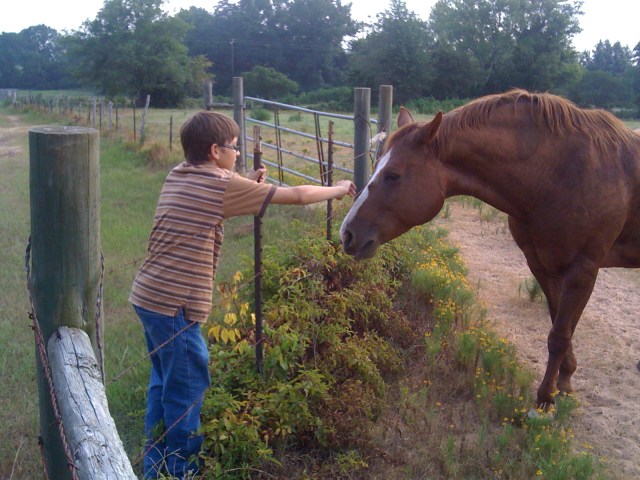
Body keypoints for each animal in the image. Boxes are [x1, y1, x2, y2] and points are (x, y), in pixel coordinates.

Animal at [340, 89, 640, 407]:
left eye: (394, 175)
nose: (347, 233)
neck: (559, 175)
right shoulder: (543, 265)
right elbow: (561, 326)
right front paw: (565, 380)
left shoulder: (583, 269)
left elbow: (560, 334)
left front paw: (545, 399)